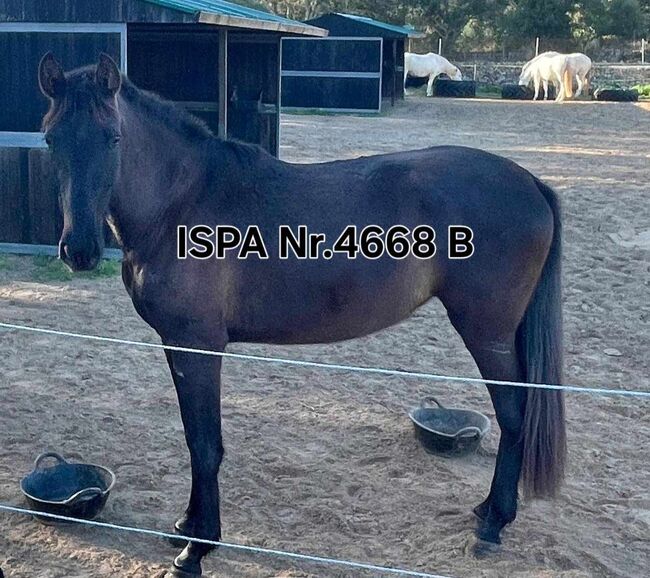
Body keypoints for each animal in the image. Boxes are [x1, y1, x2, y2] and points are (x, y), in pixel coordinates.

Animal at [38, 51, 564, 572]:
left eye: (113, 137)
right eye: (50, 138)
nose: (79, 250)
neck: (181, 204)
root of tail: (530, 182)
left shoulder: (198, 347)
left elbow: (205, 445)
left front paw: (197, 548)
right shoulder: (176, 345)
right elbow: (193, 437)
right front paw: (187, 526)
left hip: (487, 334)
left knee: (514, 416)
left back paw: (493, 524)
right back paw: (489, 512)